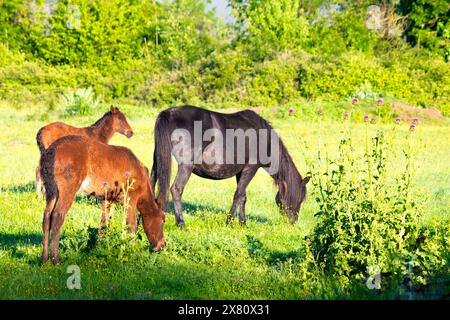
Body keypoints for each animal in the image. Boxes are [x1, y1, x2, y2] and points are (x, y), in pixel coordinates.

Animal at [39, 135, 166, 264]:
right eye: (163, 219)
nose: (162, 245)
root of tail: (50, 152)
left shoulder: (108, 199)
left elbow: (104, 225)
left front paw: (101, 248)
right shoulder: (130, 198)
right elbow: (131, 225)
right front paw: (134, 253)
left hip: (51, 191)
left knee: (46, 217)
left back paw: (44, 260)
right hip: (67, 189)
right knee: (57, 216)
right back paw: (55, 260)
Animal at [151, 104, 310, 225]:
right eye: (299, 198)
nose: (292, 222)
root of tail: (170, 113)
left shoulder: (241, 171)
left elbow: (243, 196)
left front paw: (243, 223)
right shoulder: (250, 168)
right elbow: (238, 194)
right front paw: (230, 221)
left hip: (158, 161)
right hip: (186, 167)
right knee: (176, 189)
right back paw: (181, 223)